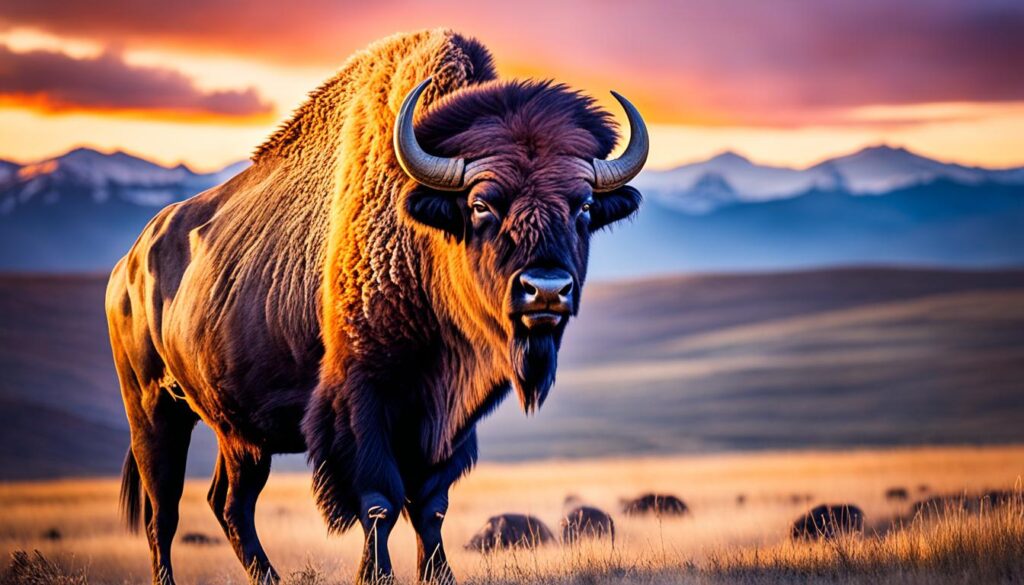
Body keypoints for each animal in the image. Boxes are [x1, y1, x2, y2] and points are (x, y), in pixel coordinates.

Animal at [106, 29, 646, 585]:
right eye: (481, 204)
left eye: (584, 206)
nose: (547, 289)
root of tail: (129, 263)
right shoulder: (363, 402)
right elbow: (379, 501)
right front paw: (376, 574)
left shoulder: (449, 418)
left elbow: (430, 506)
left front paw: (439, 575)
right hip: (153, 411)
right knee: (164, 512)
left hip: (239, 436)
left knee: (229, 504)